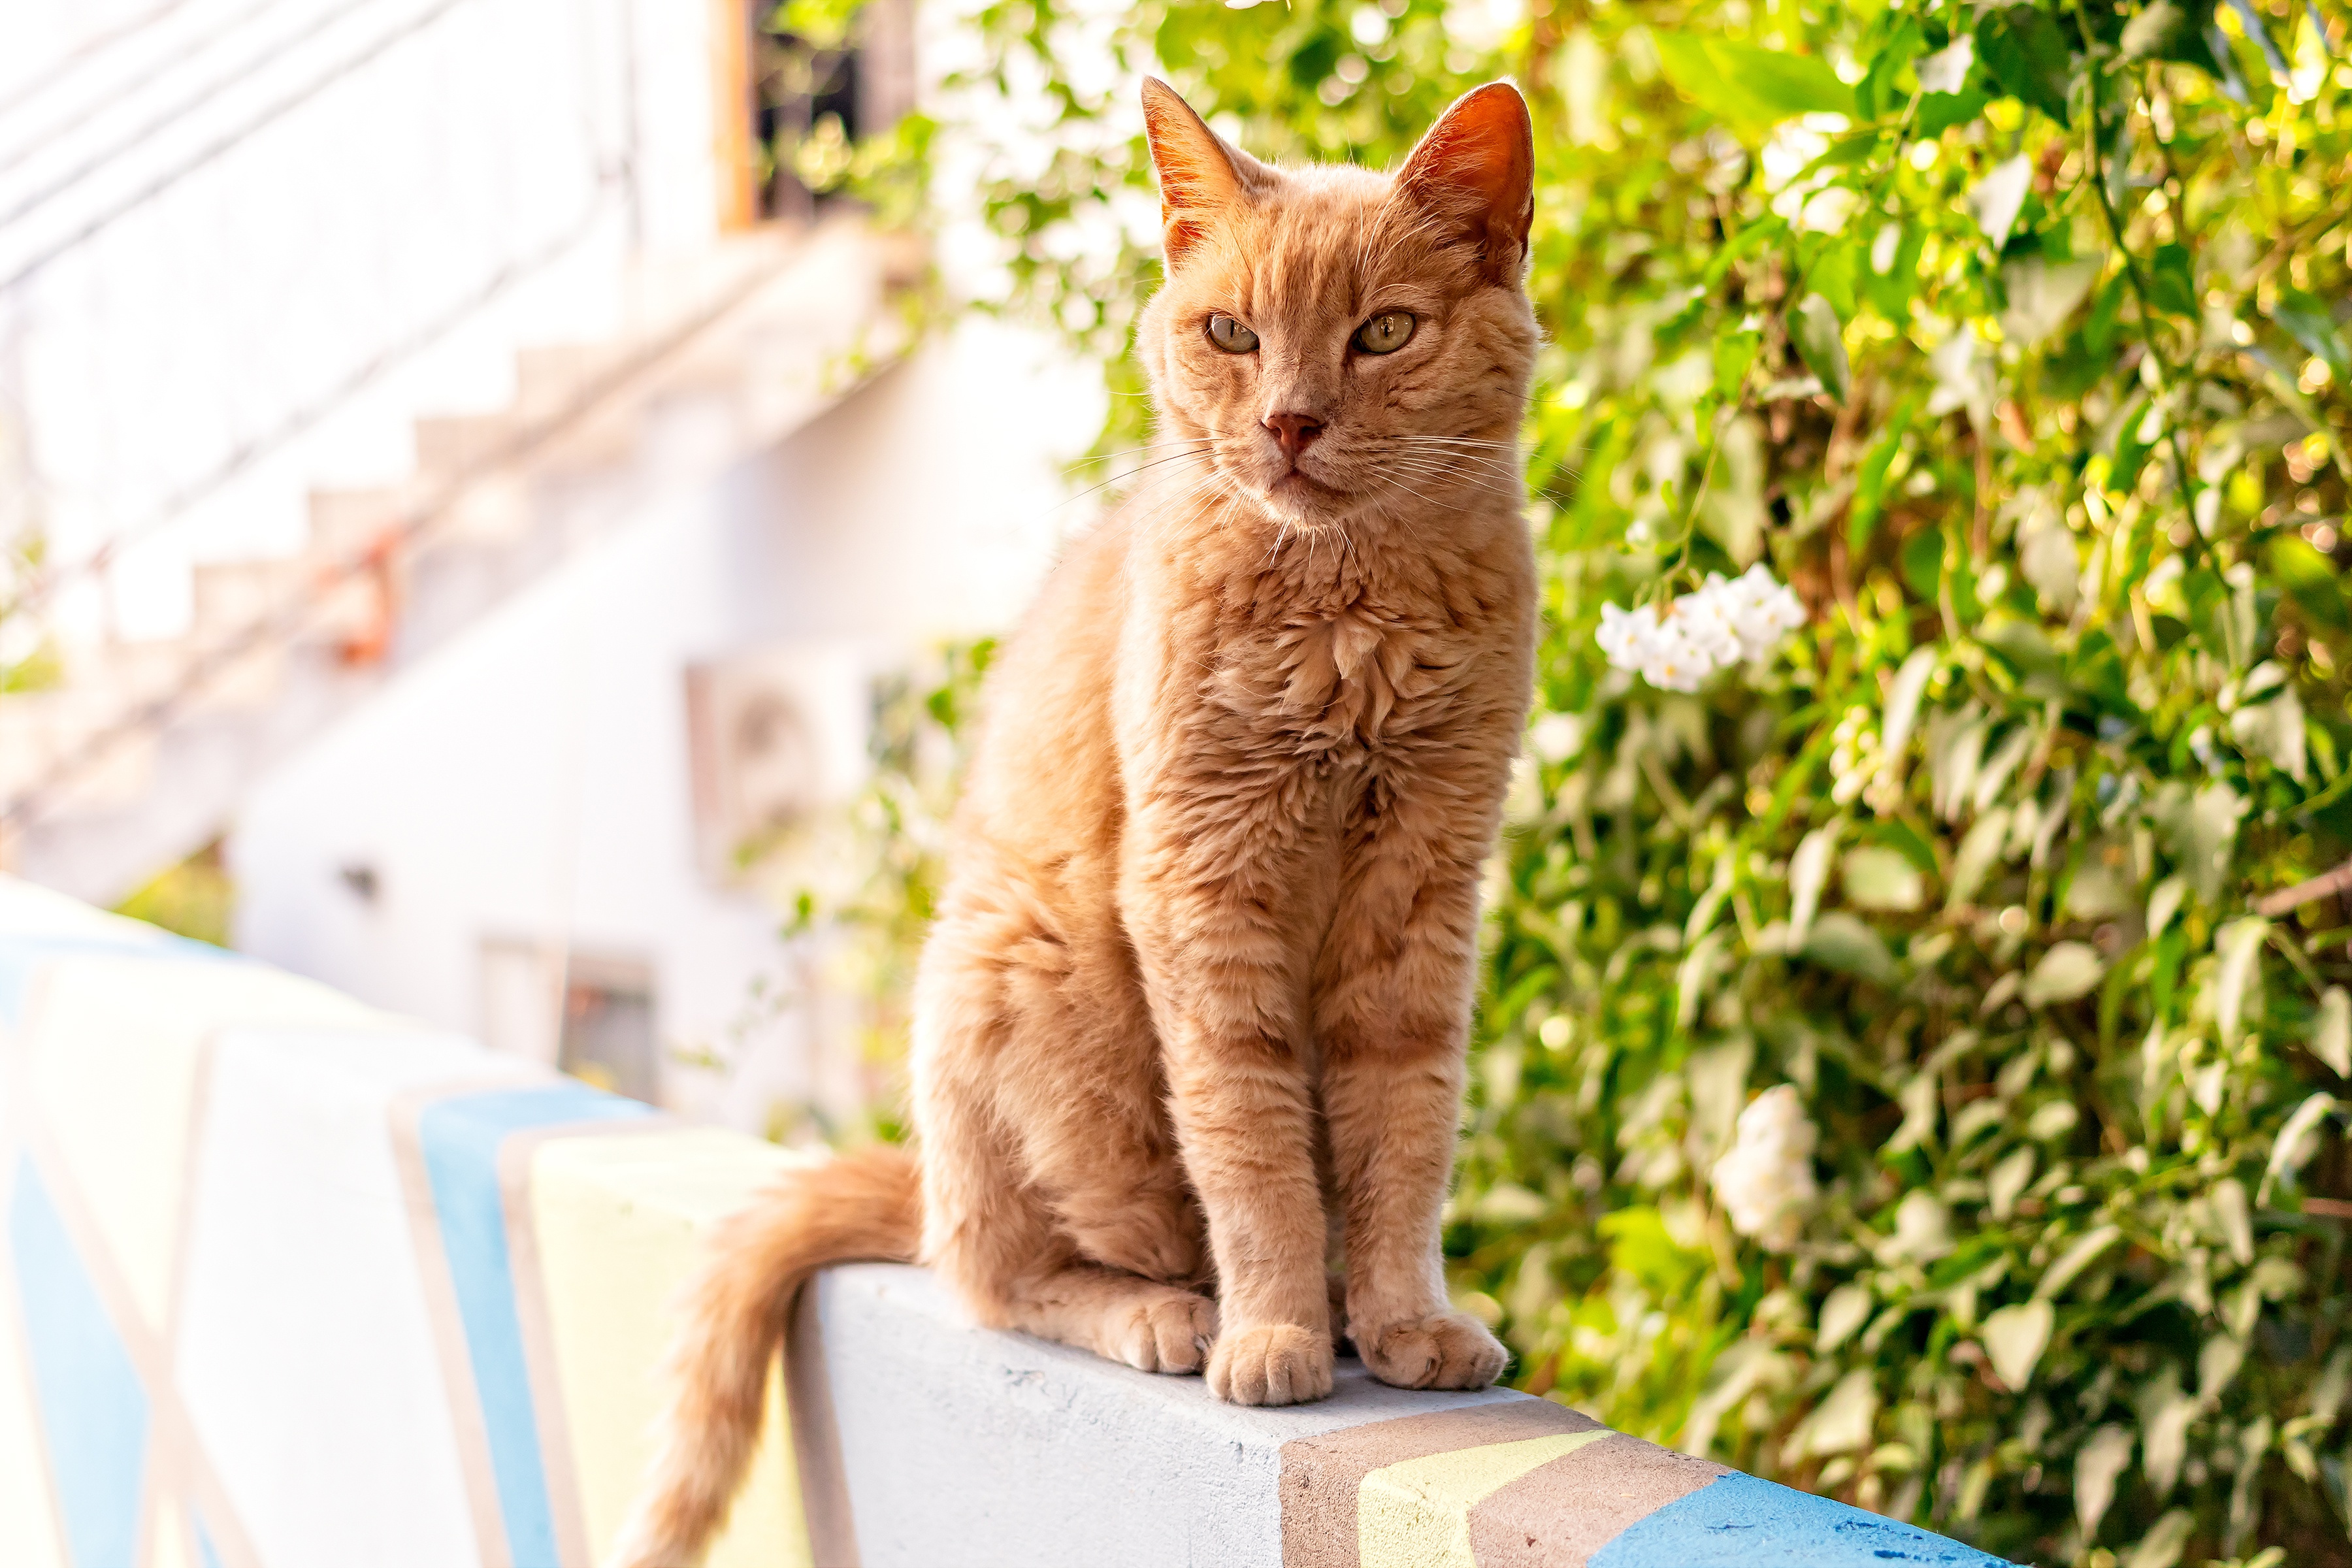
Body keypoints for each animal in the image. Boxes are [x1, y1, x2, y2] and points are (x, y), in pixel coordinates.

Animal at [612, 80, 1543, 1561]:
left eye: (1384, 333)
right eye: (1234, 333)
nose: (1290, 422)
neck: (1350, 617)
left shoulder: (1424, 893)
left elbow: (1403, 1136)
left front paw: (1401, 1317)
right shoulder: (1202, 889)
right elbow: (1250, 1146)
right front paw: (1275, 1328)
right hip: (1037, 985)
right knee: (1001, 1279)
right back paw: (1175, 1314)